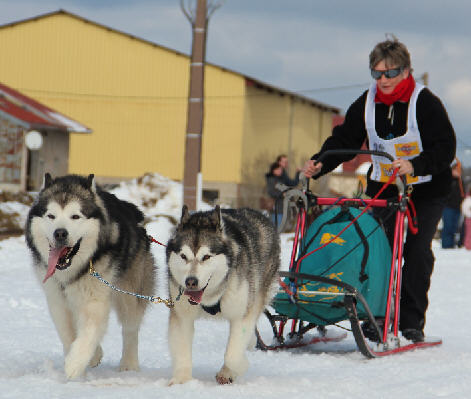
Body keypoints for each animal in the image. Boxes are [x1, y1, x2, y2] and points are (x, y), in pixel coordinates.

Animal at [25, 173, 155, 380]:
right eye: (51, 216)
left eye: (75, 216)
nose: (60, 233)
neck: (72, 271)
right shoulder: (57, 299)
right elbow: (67, 332)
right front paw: (91, 356)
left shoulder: (95, 299)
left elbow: (90, 330)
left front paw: (74, 363)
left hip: (129, 291)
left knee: (130, 328)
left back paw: (129, 364)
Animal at [167, 206, 280, 384]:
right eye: (183, 256)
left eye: (206, 257)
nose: (191, 281)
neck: (210, 297)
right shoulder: (182, 316)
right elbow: (182, 349)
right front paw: (181, 380)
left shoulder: (241, 315)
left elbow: (232, 356)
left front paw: (234, 369)